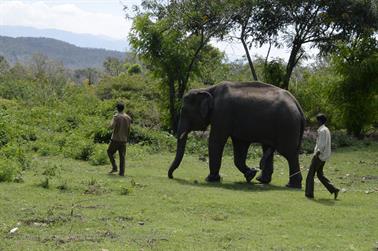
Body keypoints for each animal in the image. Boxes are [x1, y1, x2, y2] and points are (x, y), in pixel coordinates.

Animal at [168, 81, 304, 188]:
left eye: (184, 111)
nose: (171, 176)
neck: (208, 89)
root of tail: (297, 104)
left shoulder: (221, 113)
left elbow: (215, 141)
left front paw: (210, 179)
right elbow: (240, 147)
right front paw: (250, 174)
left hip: (287, 125)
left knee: (289, 153)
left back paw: (291, 186)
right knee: (268, 148)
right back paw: (261, 180)